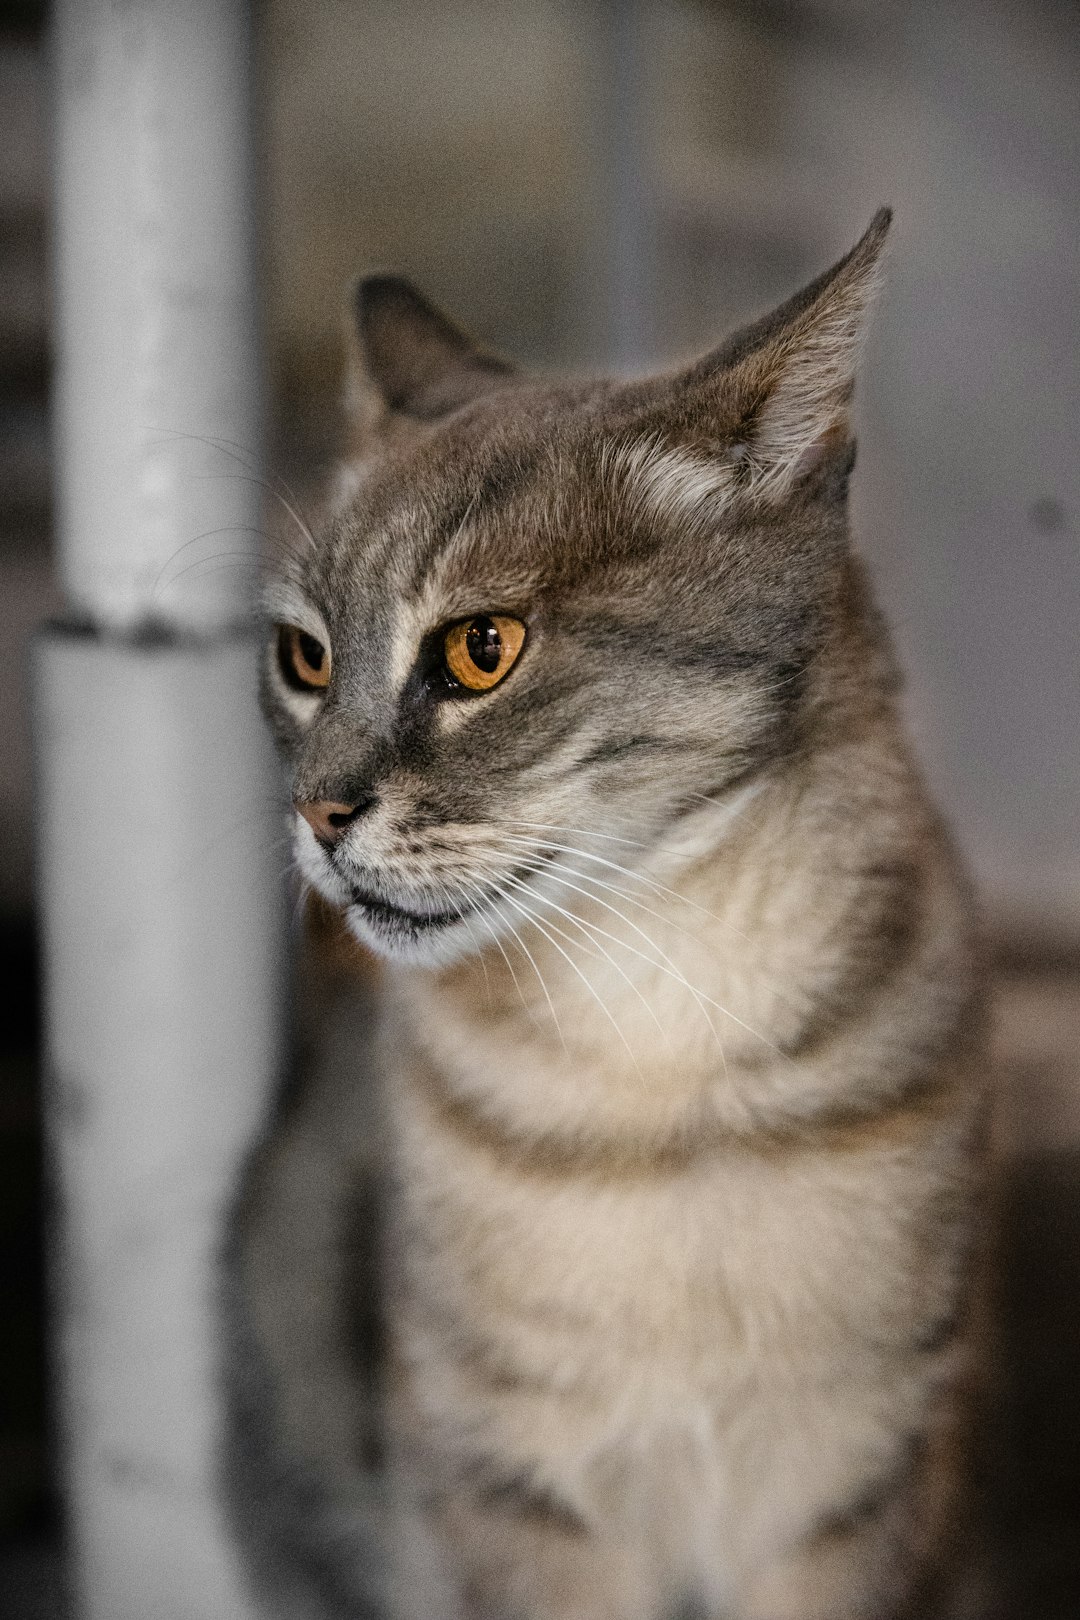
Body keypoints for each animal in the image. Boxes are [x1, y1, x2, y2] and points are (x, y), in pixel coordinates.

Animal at [226, 212, 990, 1620]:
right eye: (304, 658)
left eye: (481, 649)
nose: (316, 812)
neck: (656, 1067)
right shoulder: (513, 1486)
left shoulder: (854, 1475)